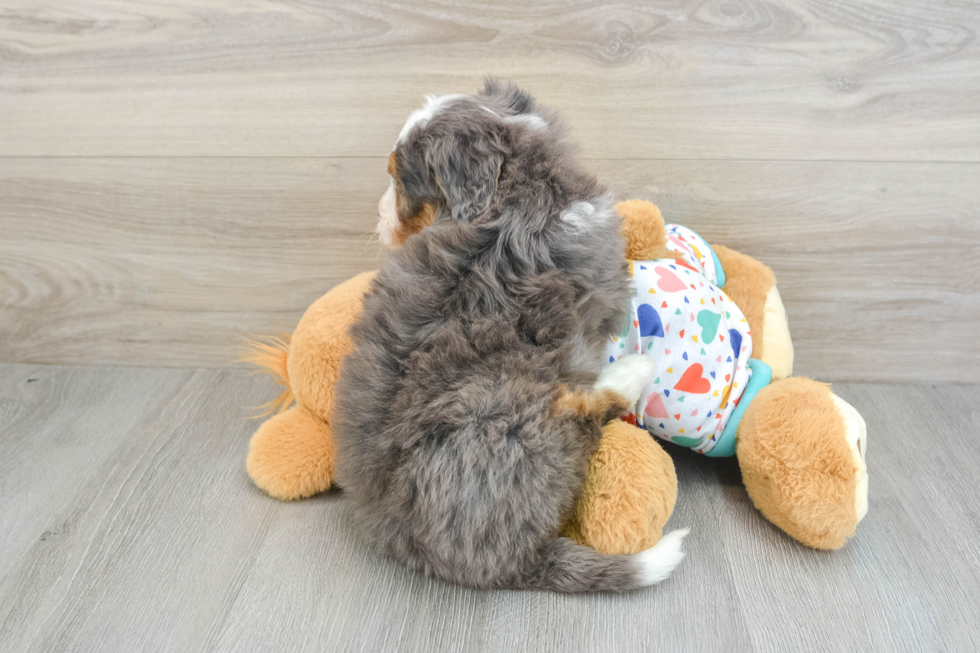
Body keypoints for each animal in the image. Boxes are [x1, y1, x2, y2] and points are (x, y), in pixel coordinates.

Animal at [334, 77, 684, 592]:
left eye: (398, 178)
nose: (377, 216)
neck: (519, 186)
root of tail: (515, 562)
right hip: (509, 415)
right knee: (581, 419)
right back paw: (631, 372)